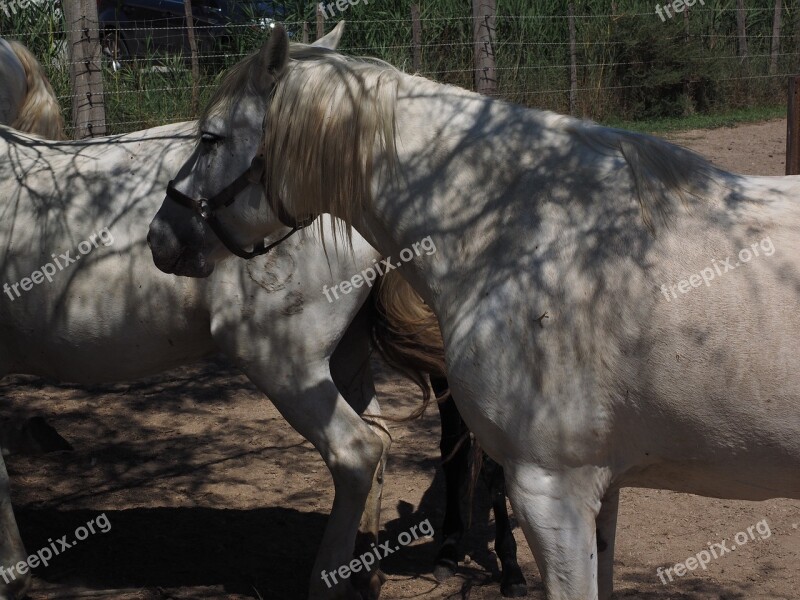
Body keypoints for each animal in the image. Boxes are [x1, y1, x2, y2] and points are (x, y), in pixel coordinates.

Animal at [1, 24, 406, 600]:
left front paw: (13, 574)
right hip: (346, 356)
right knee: (383, 439)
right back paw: (365, 568)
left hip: (285, 364)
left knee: (356, 453)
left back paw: (327, 579)